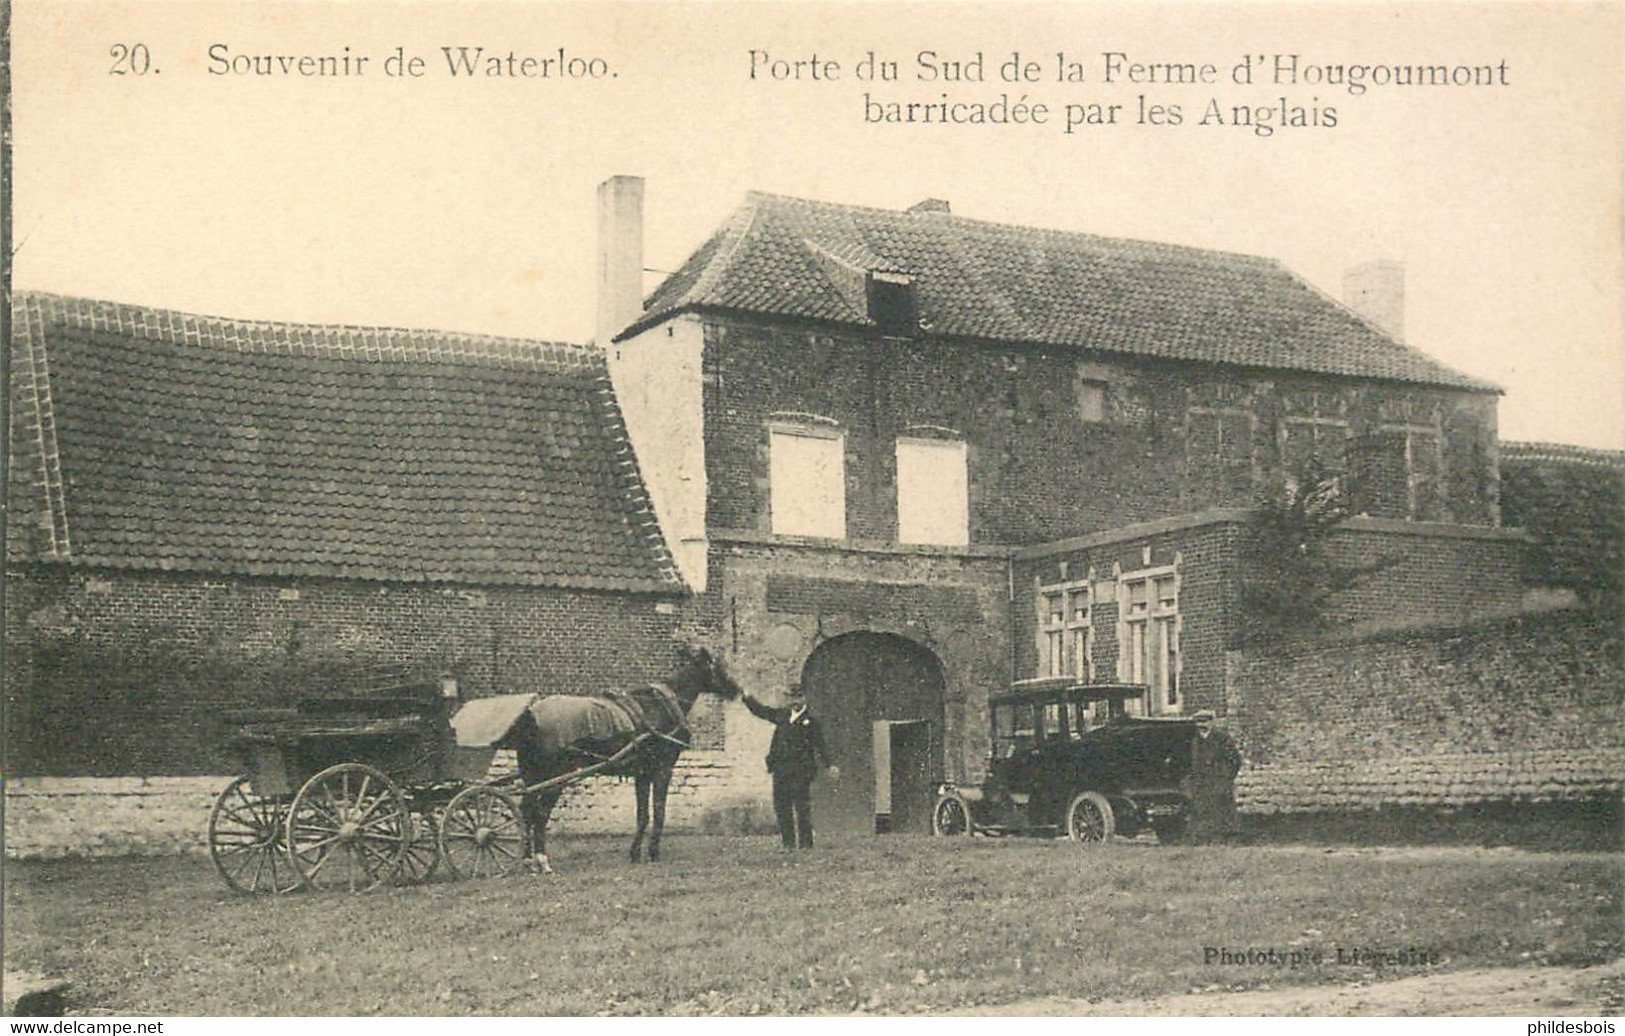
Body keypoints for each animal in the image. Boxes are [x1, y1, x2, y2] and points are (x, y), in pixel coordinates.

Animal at [507, 646, 744, 870]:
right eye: (717, 667)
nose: (738, 691)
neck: (660, 707)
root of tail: (532, 714)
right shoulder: (663, 769)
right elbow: (659, 812)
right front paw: (653, 853)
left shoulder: (643, 774)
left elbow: (643, 815)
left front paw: (635, 854)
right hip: (556, 776)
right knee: (540, 813)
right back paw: (542, 860)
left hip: (533, 775)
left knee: (526, 810)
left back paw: (527, 859)